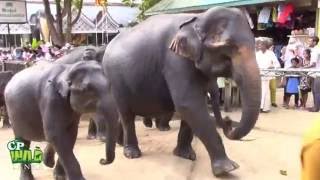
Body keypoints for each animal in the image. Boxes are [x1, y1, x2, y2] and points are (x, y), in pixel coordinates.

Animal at [104, 6, 262, 176]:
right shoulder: (175, 60)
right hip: (115, 80)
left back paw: (120, 144)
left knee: (122, 114)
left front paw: (186, 155)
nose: (228, 121)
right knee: (126, 114)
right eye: (228, 52)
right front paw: (227, 168)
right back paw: (132, 153)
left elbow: (191, 108)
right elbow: (188, 104)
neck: (198, 18)